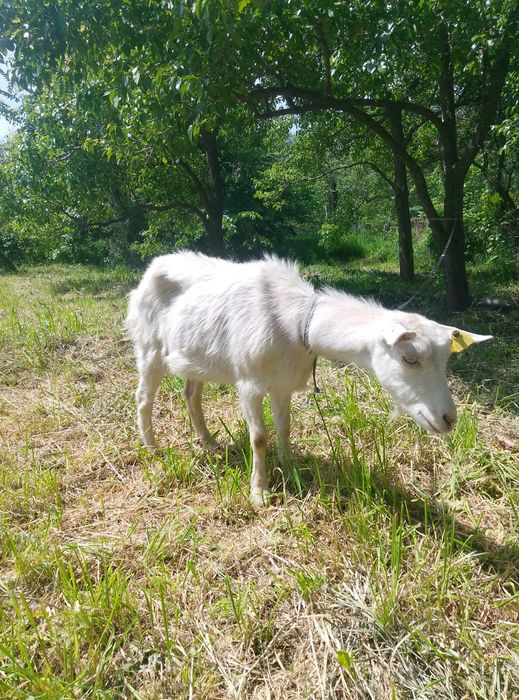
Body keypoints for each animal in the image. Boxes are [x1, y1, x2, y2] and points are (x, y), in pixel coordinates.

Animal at [126, 252, 492, 505]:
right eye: (410, 358)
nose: (448, 419)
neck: (298, 322)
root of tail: (153, 265)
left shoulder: (282, 383)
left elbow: (285, 428)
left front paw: (290, 466)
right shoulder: (249, 383)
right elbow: (259, 437)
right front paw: (259, 492)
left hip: (194, 355)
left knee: (191, 394)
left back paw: (208, 442)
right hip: (149, 344)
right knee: (144, 397)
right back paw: (153, 447)